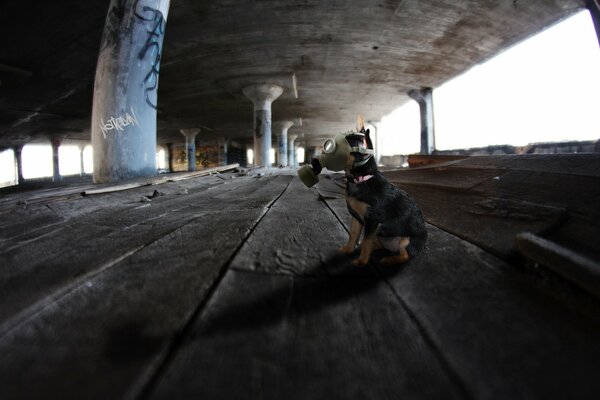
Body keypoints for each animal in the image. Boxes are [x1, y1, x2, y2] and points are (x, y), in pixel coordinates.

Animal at [338, 122, 426, 266]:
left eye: (346, 143)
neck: (361, 179)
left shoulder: (372, 220)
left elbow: (366, 240)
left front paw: (361, 262)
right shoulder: (356, 217)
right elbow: (353, 234)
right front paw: (348, 249)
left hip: (406, 241)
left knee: (405, 255)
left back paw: (390, 259)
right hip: (382, 236)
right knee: (376, 243)